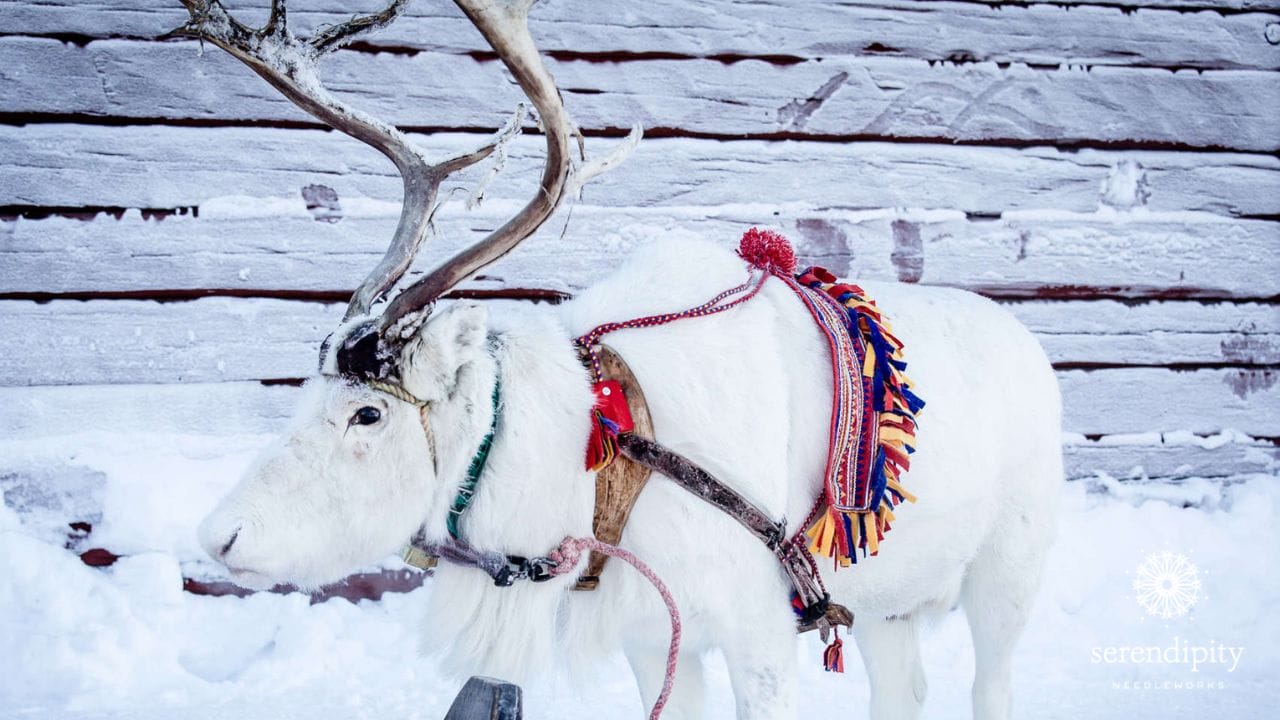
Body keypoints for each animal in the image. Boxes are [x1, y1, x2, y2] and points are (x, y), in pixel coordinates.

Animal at [182, 2, 1063, 719]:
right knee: (905, 691)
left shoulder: (761, 633)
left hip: (1008, 576)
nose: (217, 535)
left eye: (367, 412)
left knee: (993, 688)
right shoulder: (655, 638)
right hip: (890, 604)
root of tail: (1030, 344)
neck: (600, 457)